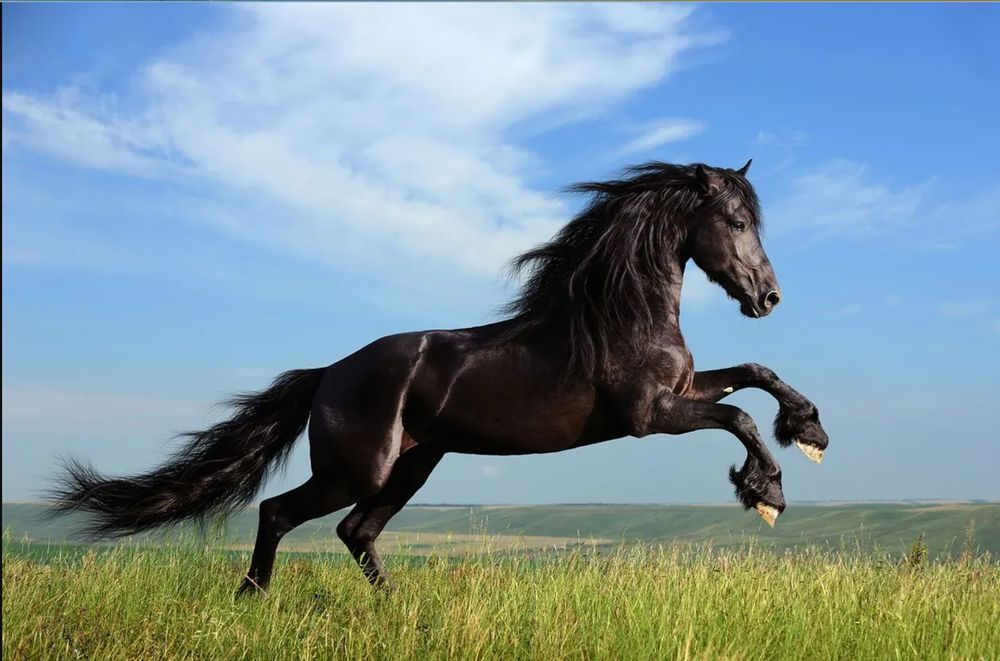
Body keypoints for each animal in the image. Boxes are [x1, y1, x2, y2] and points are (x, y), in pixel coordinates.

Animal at [51, 159, 830, 594]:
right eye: (735, 221)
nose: (768, 297)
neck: (620, 314)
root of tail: (328, 373)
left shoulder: (681, 391)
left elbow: (755, 373)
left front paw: (810, 431)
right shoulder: (649, 414)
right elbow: (738, 416)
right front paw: (766, 491)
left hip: (414, 465)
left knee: (356, 532)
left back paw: (395, 609)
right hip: (357, 469)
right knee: (281, 513)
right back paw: (251, 598)